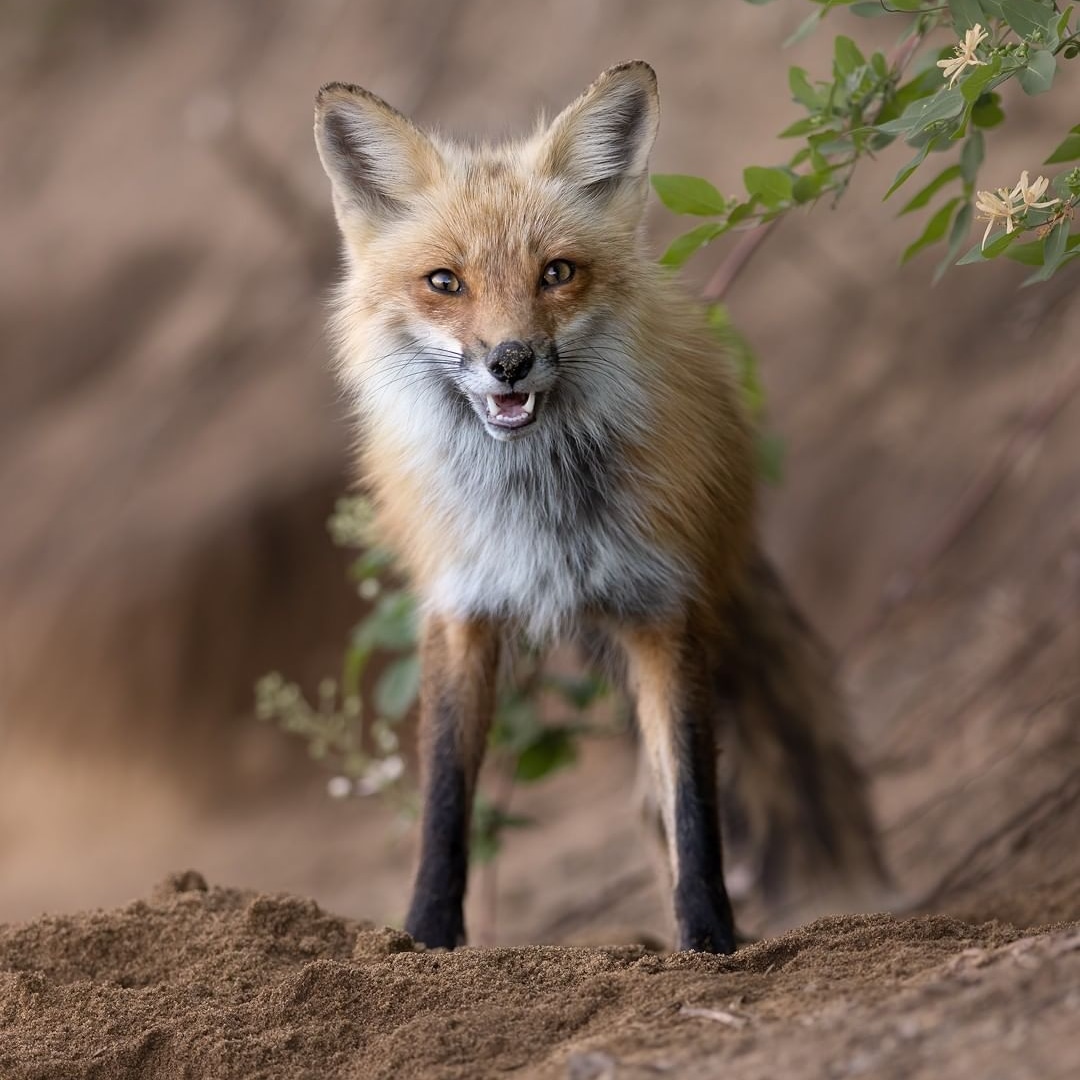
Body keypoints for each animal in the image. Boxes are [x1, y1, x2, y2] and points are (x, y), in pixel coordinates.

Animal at [312, 61, 885, 953]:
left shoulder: (663, 608)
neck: (542, 511)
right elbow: (444, 803)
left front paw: (709, 940)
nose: (510, 361)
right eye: (444, 282)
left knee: (654, 803)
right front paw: (427, 936)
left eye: (557, 272)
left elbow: (693, 808)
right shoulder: (461, 606)